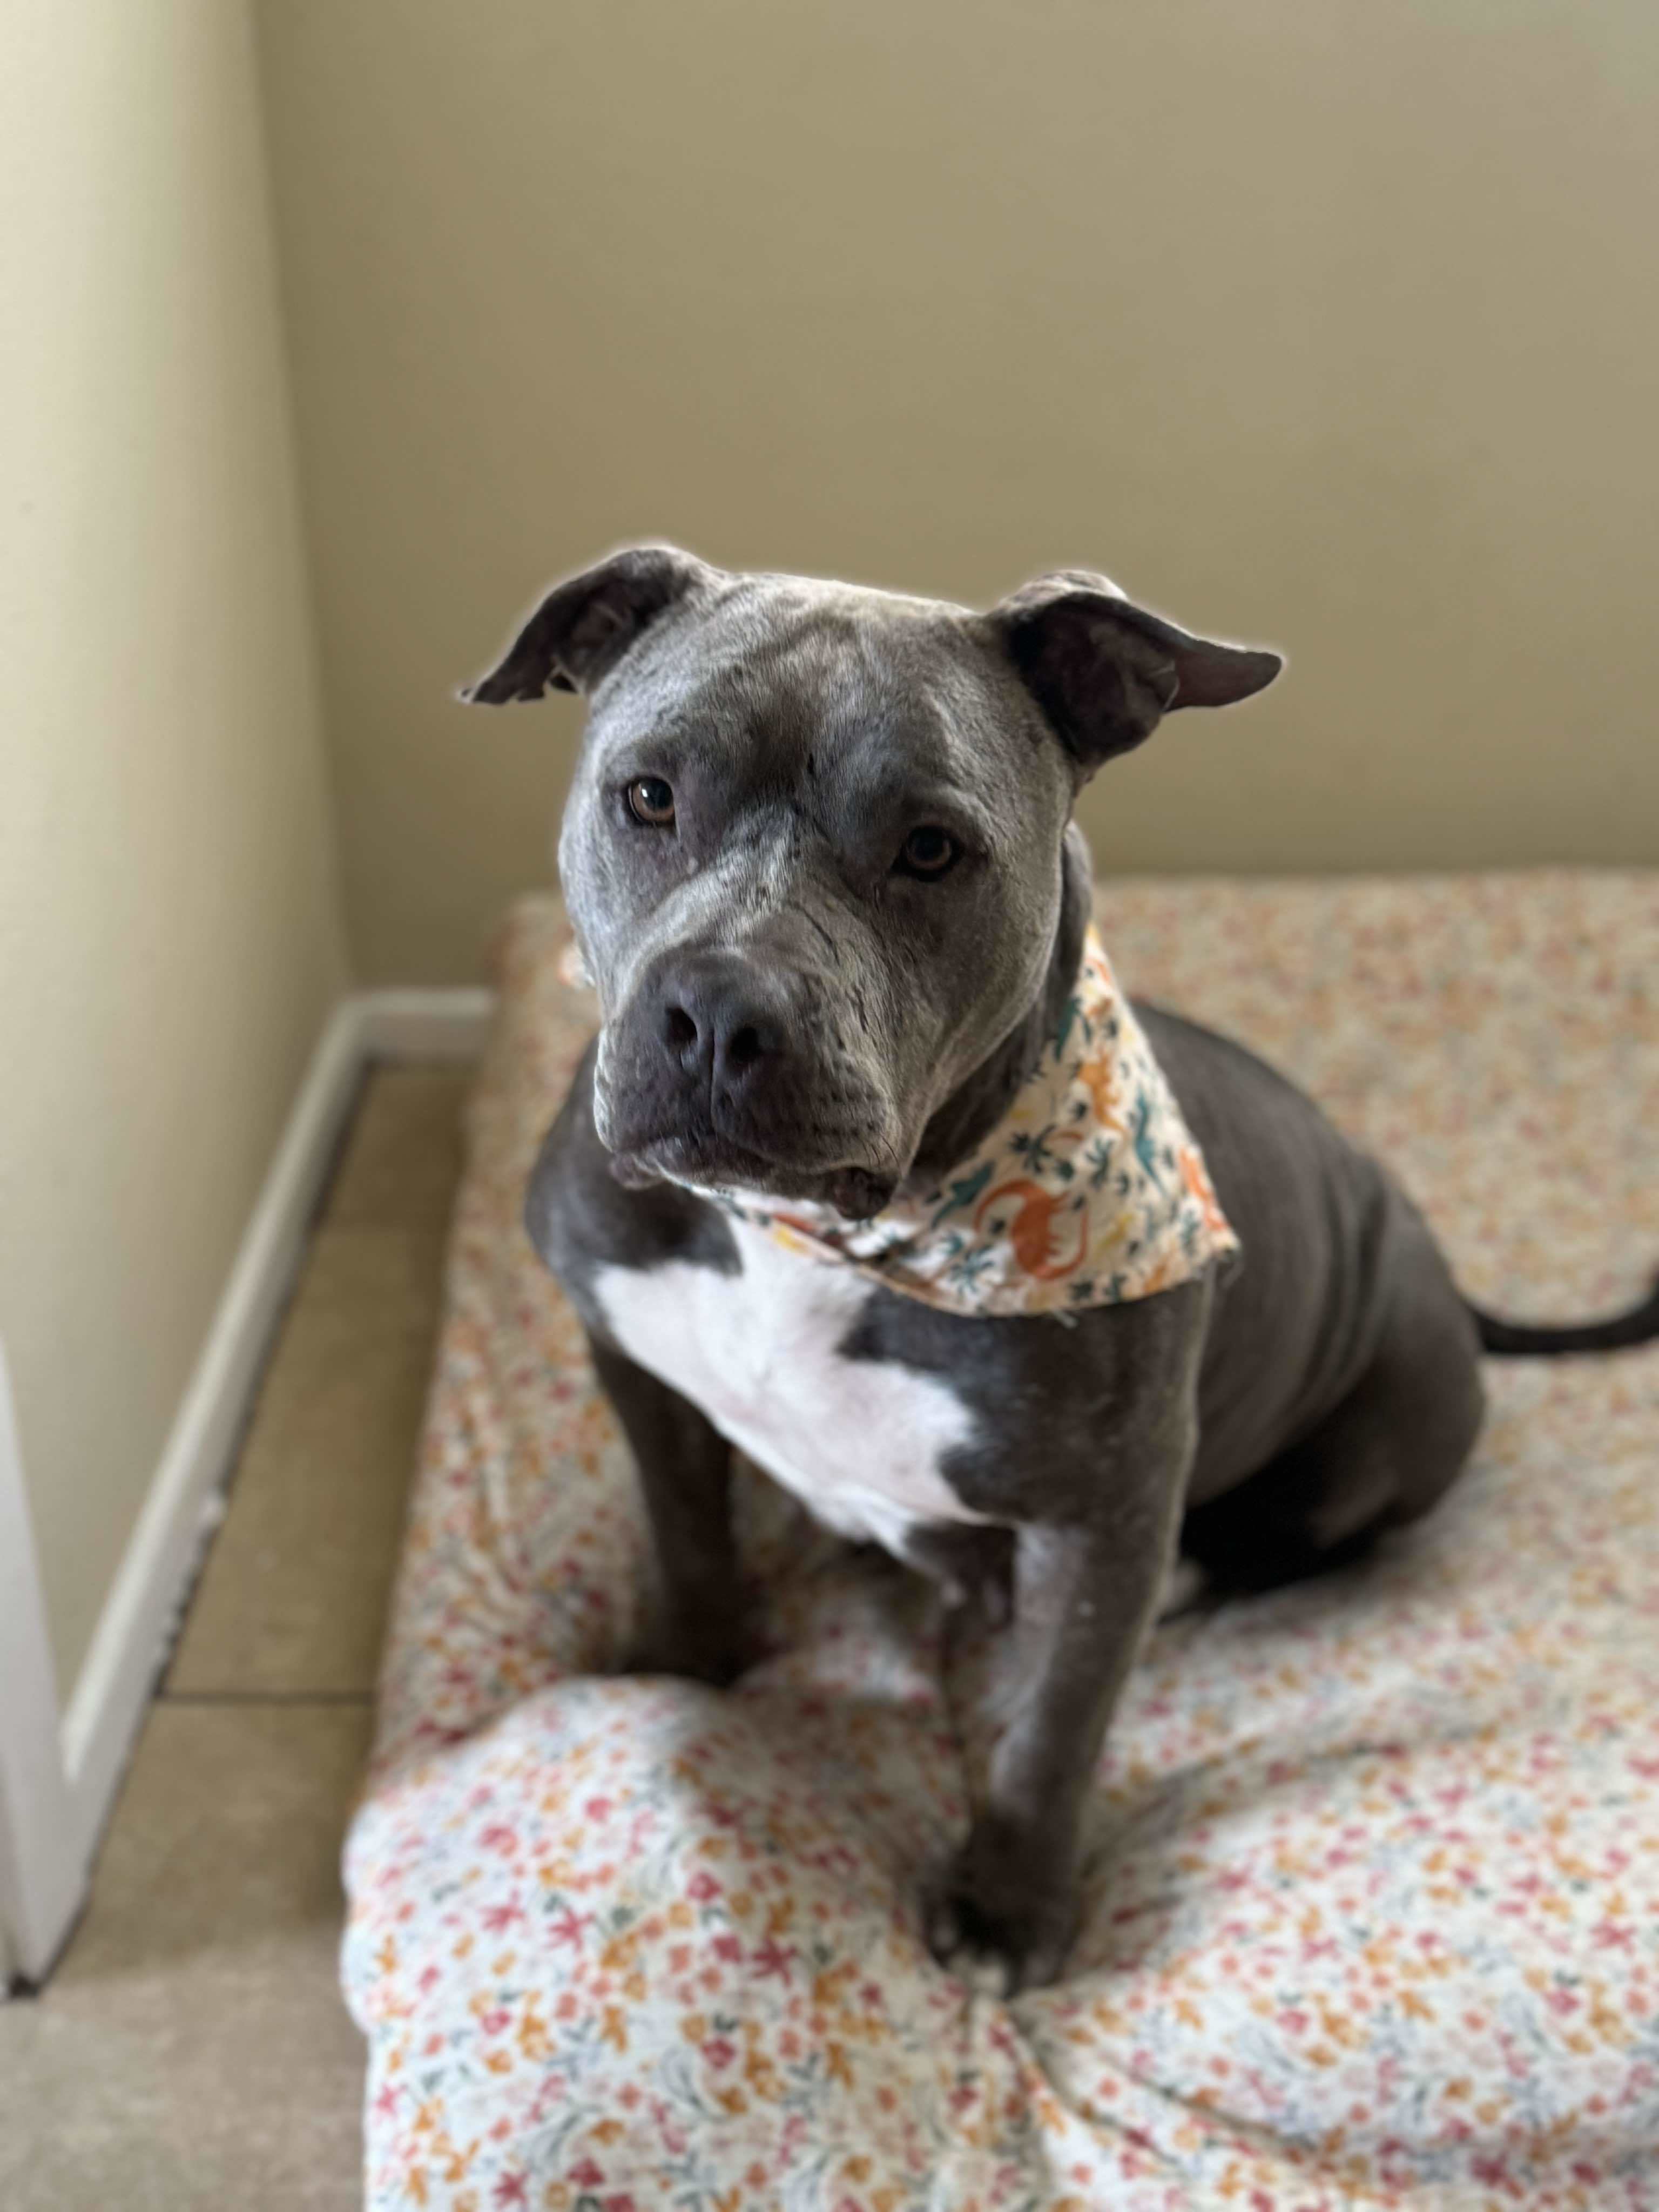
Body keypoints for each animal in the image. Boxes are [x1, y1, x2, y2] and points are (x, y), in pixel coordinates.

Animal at [462, 548, 1659, 1991]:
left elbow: (1052, 1724)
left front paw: (1006, 1907)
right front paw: (688, 1659)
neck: (803, 1233)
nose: (716, 1011)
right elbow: (684, 1522)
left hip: (1382, 1424)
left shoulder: (1103, 1520)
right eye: (648, 795)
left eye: (931, 847)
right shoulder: (630, 1359)